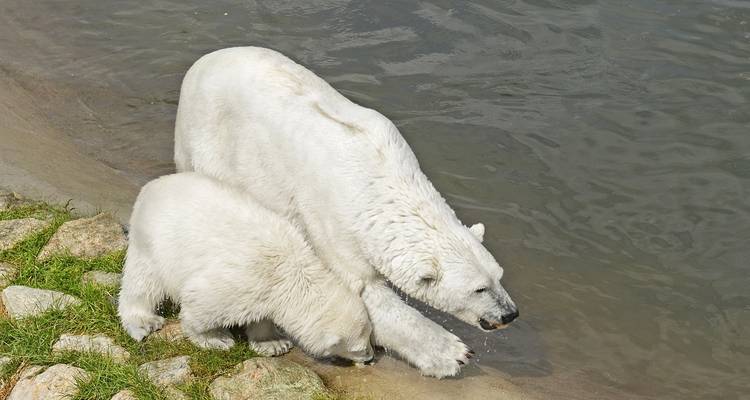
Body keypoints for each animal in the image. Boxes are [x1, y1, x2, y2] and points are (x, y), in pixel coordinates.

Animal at [118, 172, 374, 363]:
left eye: (371, 336)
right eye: (359, 347)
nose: (371, 357)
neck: (291, 269)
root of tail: (151, 186)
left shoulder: (267, 291)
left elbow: (263, 316)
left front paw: (273, 343)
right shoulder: (243, 281)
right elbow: (200, 304)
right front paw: (216, 339)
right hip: (153, 241)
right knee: (143, 283)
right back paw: (143, 322)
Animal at [174, 47, 518, 377]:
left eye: (499, 276)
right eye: (479, 289)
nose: (510, 314)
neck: (380, 180)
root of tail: (201, 64)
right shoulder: (335, 220)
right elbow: (363, 289)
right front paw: (452, 354)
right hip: (207, 139)